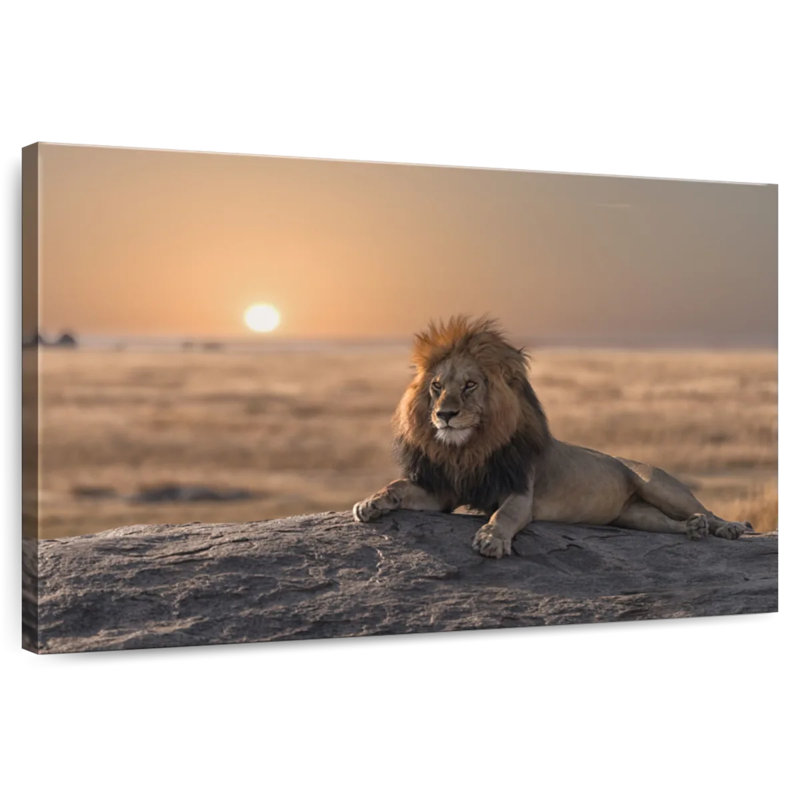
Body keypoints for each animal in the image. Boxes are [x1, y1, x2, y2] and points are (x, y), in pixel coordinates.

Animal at [353, 315, 753, 558]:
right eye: (437, 387)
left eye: (469, 385)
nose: (445, 415)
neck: (469, 448)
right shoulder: (444, 492)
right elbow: (398, 486)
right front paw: (371, 503)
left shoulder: (520, 492)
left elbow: (504, 515)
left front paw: (491, 538)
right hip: (633, 516)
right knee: (669, 524)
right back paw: (693, 529)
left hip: (659, 485)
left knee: (707, 510)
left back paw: (728, 527)